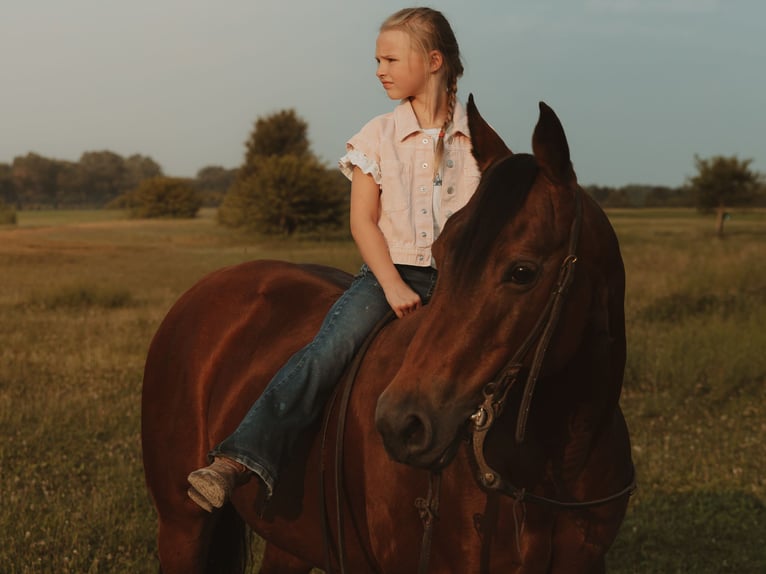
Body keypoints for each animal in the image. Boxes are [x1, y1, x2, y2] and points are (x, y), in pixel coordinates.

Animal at [141, 96, 634, 573]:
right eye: (442, 252)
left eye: (522, 272)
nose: (401, 424)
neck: (554, 466)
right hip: (181, 526)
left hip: (293, 542)